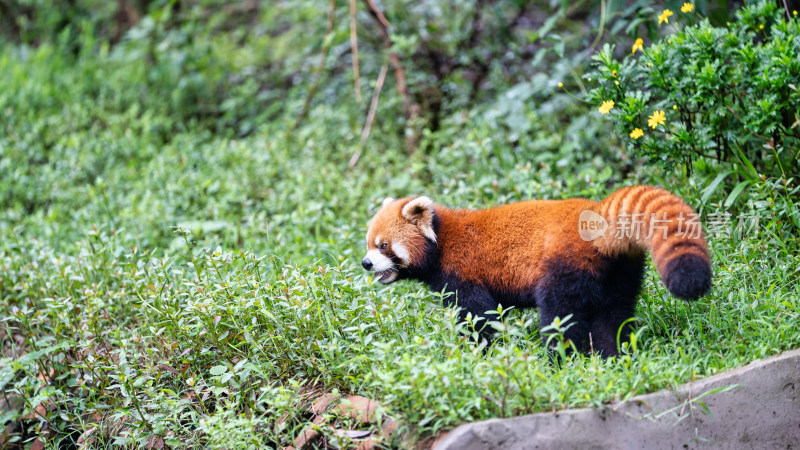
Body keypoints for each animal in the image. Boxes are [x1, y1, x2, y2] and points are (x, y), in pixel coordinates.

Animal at [362, 185, 712, 356]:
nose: (366, 263)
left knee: (561, 314)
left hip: (564, 265)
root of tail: (597, 212)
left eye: (384, 246)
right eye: (368, 244)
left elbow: (479, 317)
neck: (442, 240)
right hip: (621, 268)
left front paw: (479, 354)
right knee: (614, 313)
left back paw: (561, 359)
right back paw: (614, 354)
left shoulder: (464, 273)